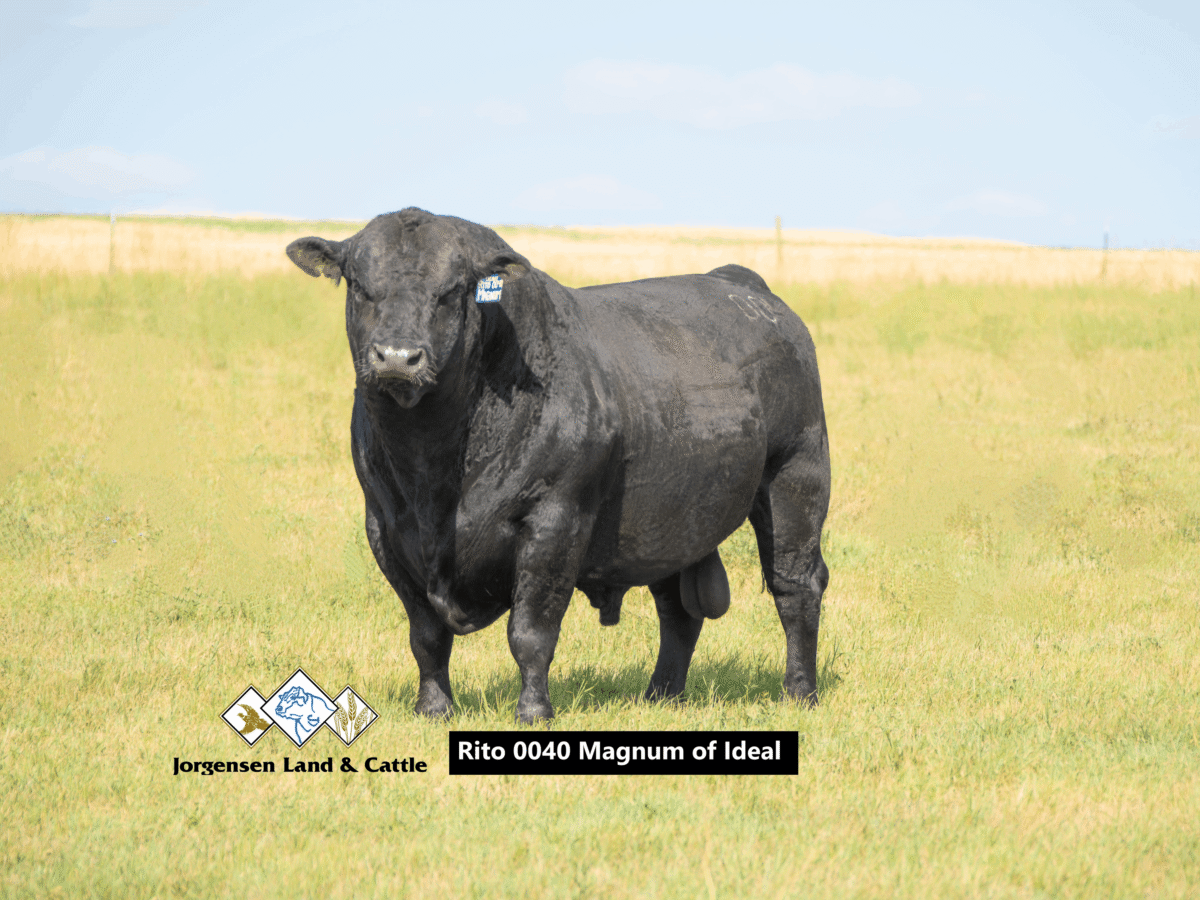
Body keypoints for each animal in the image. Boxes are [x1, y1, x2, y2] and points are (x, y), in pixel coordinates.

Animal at [286, 209, 830, 723]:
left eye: (451, 291)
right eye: (360, 286)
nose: (398, 357)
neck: (432, 469)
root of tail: (743, 284)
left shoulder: (555, 519)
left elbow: (531, 632)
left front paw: (533, 711)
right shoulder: (385, 528)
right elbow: (426, 634)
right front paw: (433, 708)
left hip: (797, 475)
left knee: (794, 584)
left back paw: (799, 692)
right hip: (671, 519)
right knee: (677, 607)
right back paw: (661, 694)